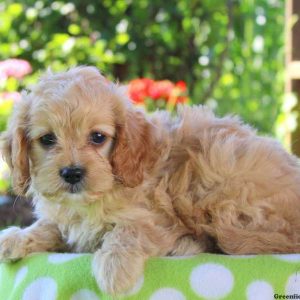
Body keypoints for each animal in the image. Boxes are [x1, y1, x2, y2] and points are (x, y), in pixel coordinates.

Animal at [0, 66, 300, 296]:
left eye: (97, 137)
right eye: (47, 139)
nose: (72, 173)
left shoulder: (159, 217)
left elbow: (130, 229)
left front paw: (114, 266)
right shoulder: (69, 224)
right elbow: (49, 226)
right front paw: (15, 237)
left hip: (216, 171)